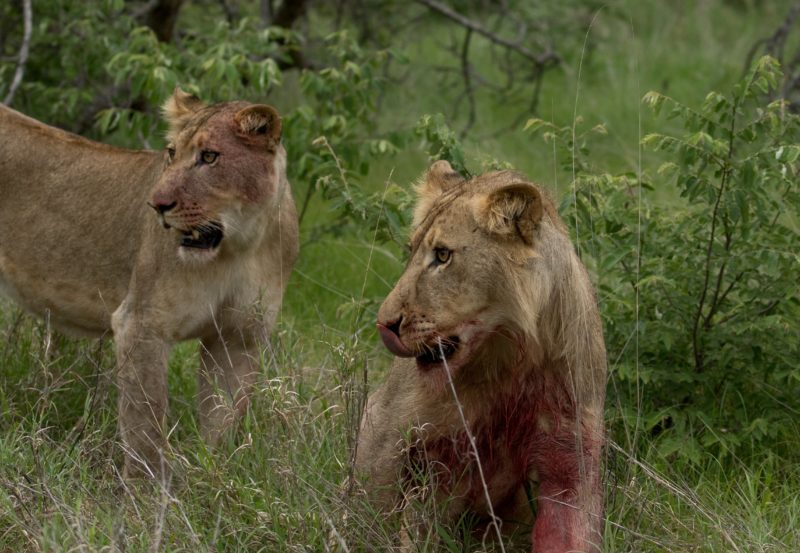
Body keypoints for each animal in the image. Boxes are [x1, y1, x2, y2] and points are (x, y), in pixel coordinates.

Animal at [0, 88, 299, 477]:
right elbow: (146, 425)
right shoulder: (141, 323)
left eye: (209, 156)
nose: (157, 204)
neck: (239, 246)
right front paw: (146, 491)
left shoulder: (238, 337)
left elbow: (222, 420)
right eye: (171, 153)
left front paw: (212, 479)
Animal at [354, 161, 607, 552]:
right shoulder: (388, 430)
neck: (515, 359)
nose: (384, 325)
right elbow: (370, 516)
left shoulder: (570, 461)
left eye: (443, 255)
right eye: (411, 251)